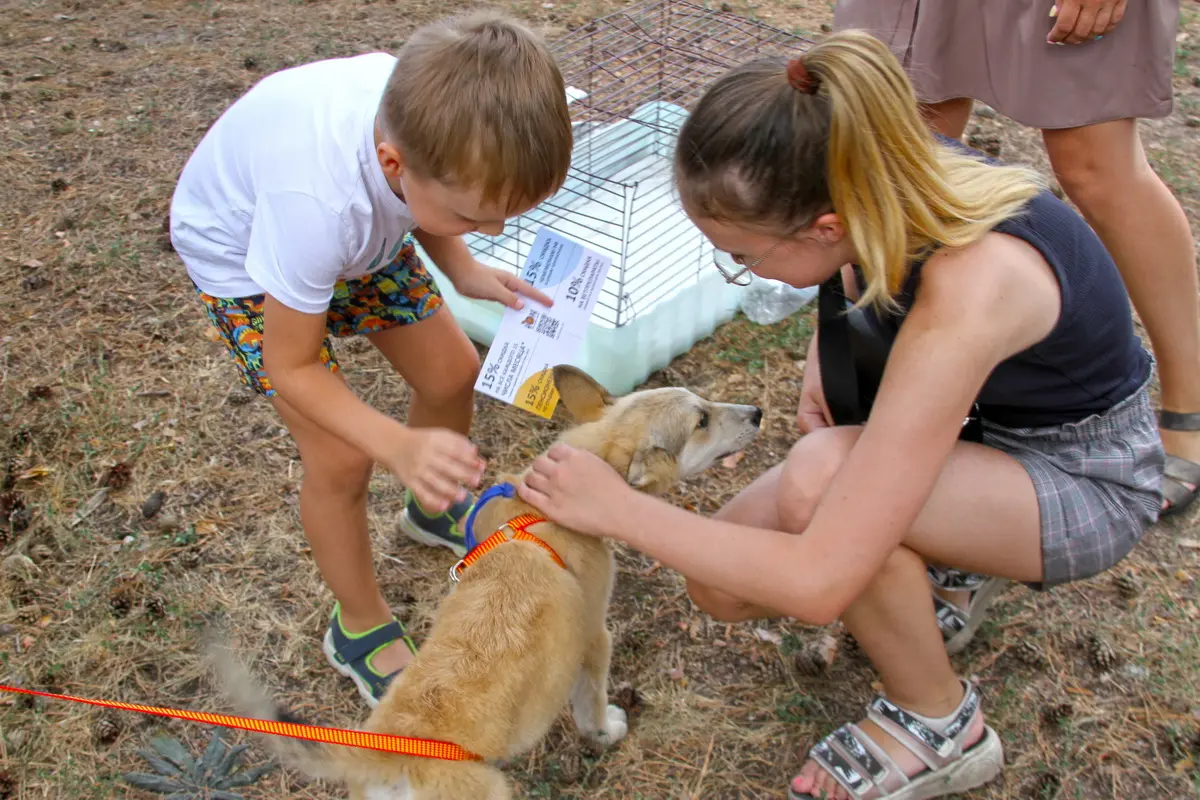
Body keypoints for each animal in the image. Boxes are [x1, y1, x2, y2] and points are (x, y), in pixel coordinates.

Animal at [216, 367, 758, 796]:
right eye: (702, 421)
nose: (756, 412)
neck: (543, 512)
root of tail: (389, 755)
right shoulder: (595, 639)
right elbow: (592, 707)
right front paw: (607, 731)